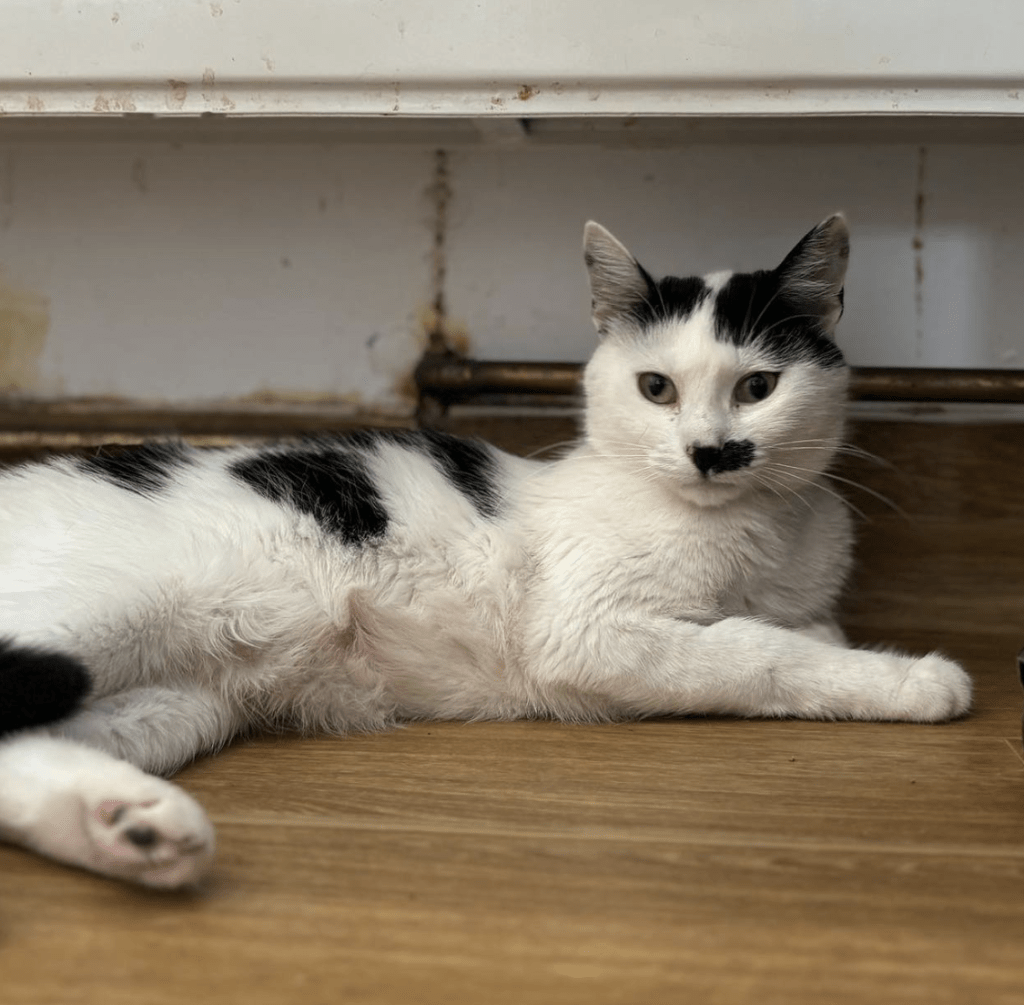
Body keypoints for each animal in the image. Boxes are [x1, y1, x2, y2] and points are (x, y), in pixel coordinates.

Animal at [0, 217, 970, 885]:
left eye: (760, 386)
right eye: (656, 388)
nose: (710, 450)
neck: (751, 534)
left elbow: (801, 631)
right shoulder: (587, 631)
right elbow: (756, 653)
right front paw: (910, 679)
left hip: (173, 699)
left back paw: (134, 827)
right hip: (104, 617)